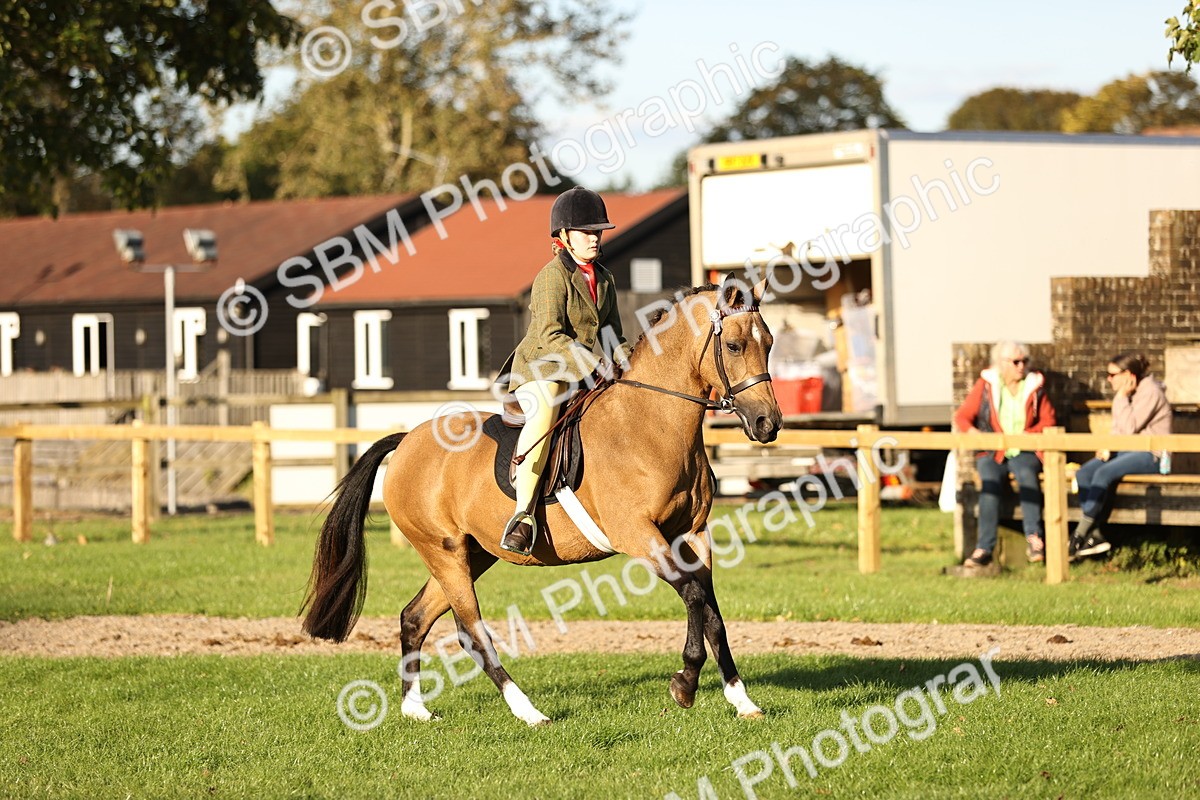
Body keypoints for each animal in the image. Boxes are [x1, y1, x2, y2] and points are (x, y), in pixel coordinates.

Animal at [301, 278, 783, 726]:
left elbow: (711, 612)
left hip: (472, 553)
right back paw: (528, 711)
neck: (651, 425)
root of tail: (406, 442)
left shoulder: (693, 535)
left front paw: (741, 700)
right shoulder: (638, 535)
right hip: (444, 552)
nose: (768, 423)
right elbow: (694, 596)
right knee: (471, 632)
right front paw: (684, 683)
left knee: (415, 617)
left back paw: (414, 709)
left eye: (769, 344)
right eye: (735, 345)